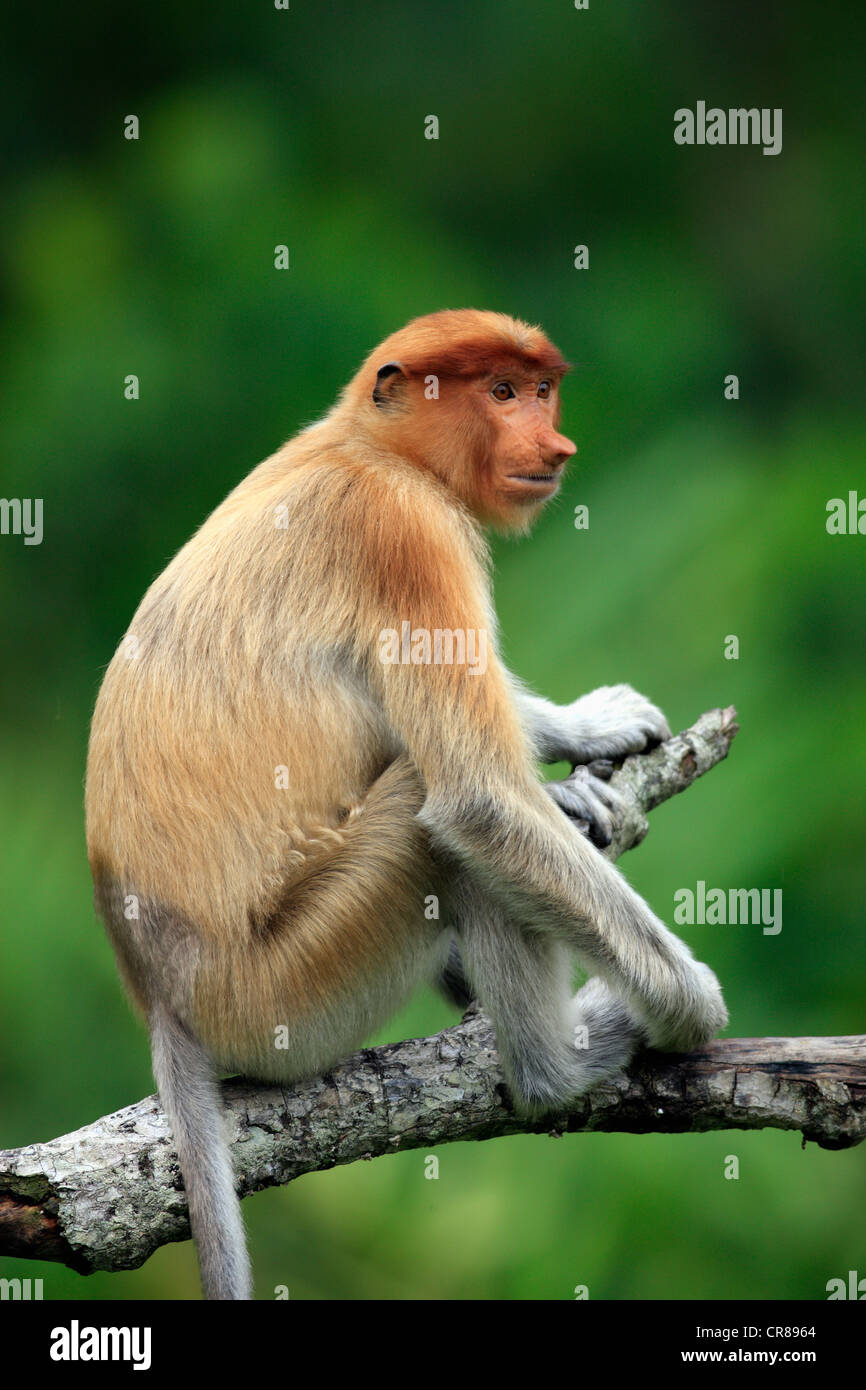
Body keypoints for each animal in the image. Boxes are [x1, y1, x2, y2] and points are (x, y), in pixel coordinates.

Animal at [85, 309, 728, 1300]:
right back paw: (561, 1068)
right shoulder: (408, 534)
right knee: (438, 830)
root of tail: (159, 993)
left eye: (542, 390)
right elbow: (477, 802)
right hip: (289, 991)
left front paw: (589, 731)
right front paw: (690, 1001)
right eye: (500, 392)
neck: (370, 446)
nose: (557, 444)